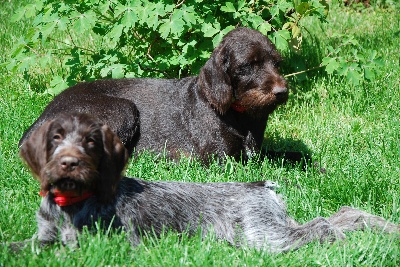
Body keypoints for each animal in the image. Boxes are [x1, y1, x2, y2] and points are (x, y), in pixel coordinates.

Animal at [17, 114, 398, 252]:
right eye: (55, 138)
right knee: (346, 213)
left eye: (91, 142)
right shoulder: (41, 236)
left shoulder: (111, 243)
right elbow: (21, 246)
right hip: (274, 227)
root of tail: (262, 185)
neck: (70, 203)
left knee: (323, 226)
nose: (69, 162)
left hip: (264, 236)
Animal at [19, 28, 288, 164]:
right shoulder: (222, 161)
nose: (281, 92)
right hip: (124, 110)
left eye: (277, 63)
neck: (239, 116)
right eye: (248, 65)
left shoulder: (257, 153)